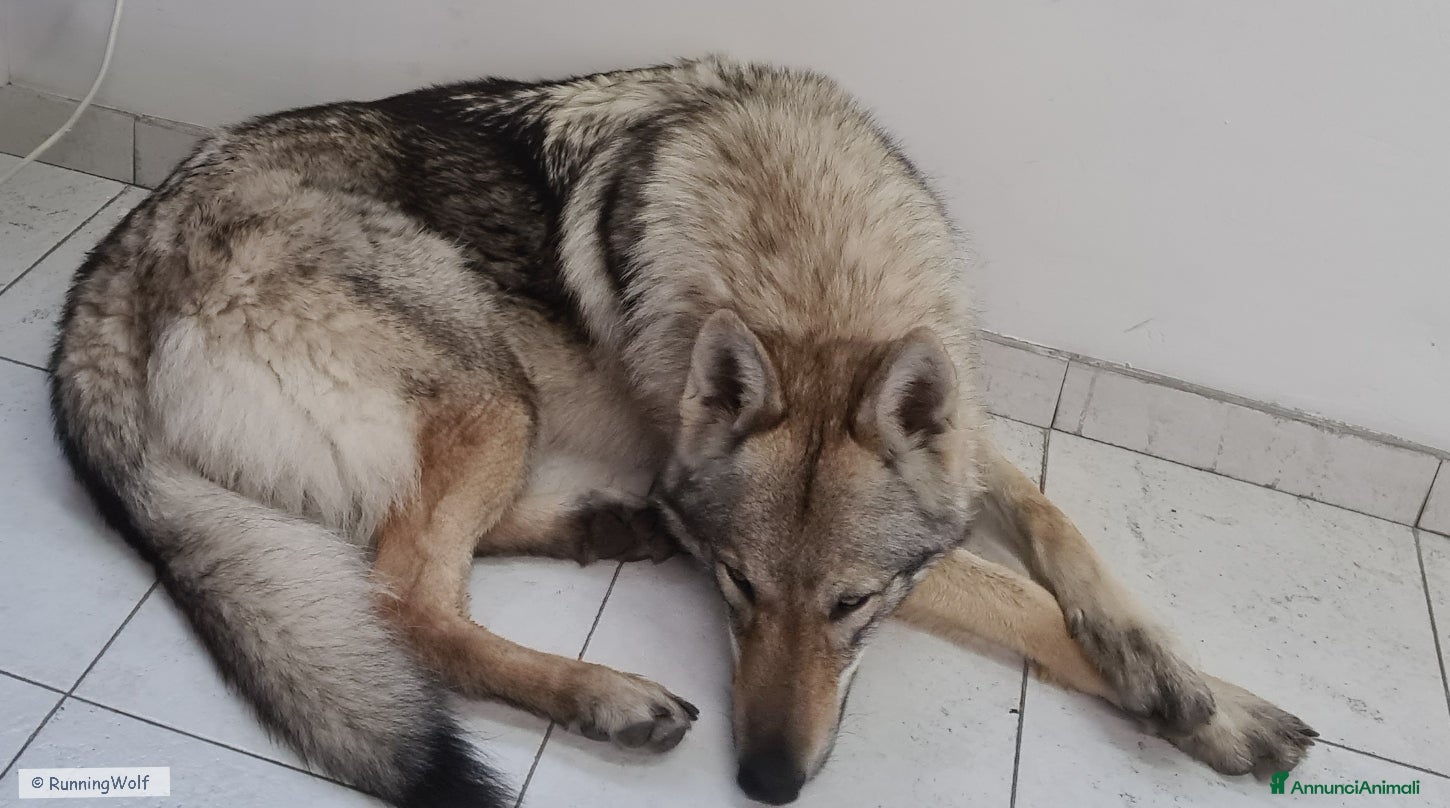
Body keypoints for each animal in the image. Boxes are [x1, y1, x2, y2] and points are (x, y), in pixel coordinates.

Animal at [50, 57, 1315, 807]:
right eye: (739, 588)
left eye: (851, 606)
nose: (765, 782)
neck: (809, 270)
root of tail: (118, 256)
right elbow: (1014, 596)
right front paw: (1223, 710)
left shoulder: (957, 448)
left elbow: (1055, 530)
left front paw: (1168, 670)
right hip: (494, 387)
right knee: (405, 597)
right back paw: (603, 691)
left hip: (499, 410)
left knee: (428, 553)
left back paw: (609, 528)